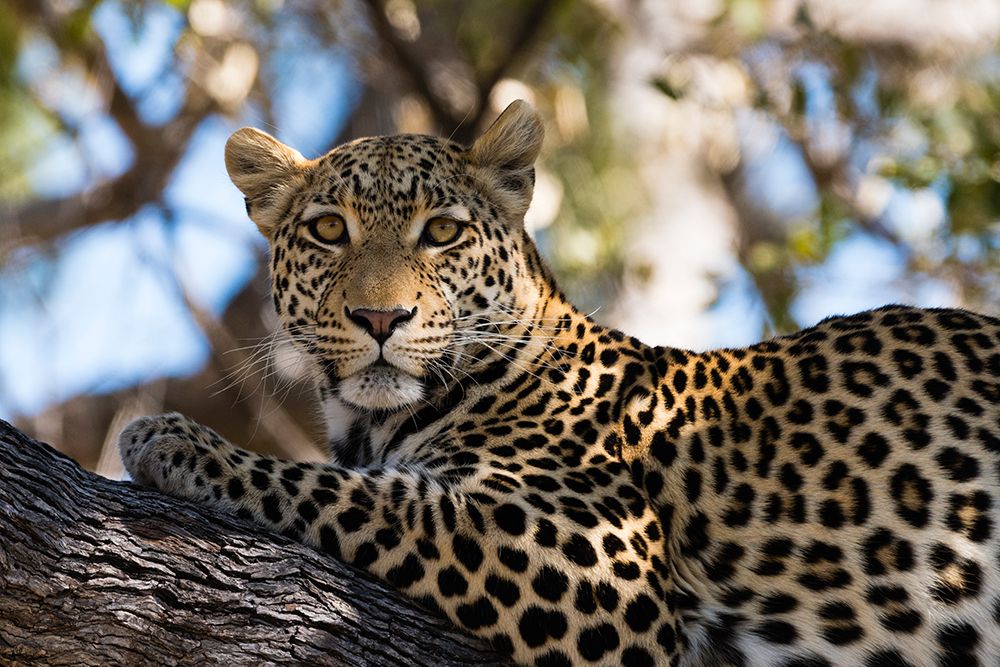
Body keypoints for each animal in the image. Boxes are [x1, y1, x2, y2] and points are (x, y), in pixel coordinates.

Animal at [119, 100, 1000, 666]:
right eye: (329, 230)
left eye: (442, 232)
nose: (380, 317)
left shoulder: (592, 552)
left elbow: (355, 494)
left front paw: (172, 440)